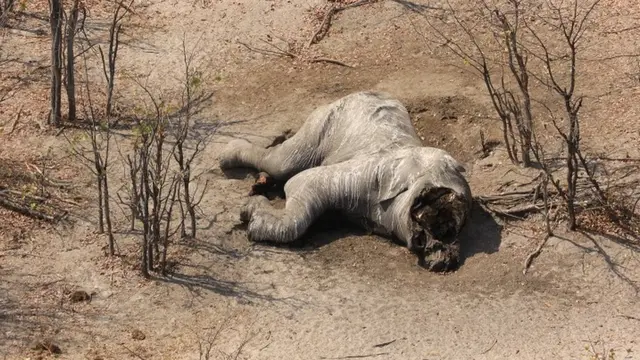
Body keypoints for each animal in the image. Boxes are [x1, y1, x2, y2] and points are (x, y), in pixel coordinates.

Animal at [221, 91, 476, 272]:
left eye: (451, 228)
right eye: (436, 196)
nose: (443, 259)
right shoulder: (367, 176)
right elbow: (300, 187)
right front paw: (249, 212)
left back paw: (260, 182)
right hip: (328, 119)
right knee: (281, 162)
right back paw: (228, 155)